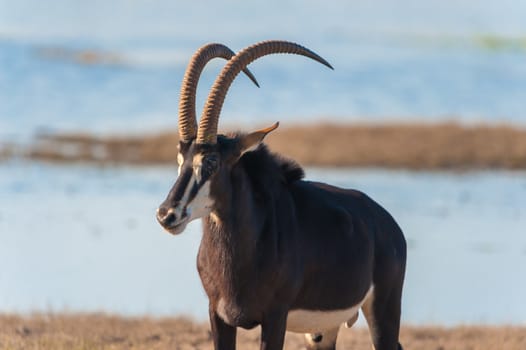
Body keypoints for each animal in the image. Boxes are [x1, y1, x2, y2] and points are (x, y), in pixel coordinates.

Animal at [157, 39, 408, 348]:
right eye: (180, 160)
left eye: (212, 161)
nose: (167, 214)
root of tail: (388, 224)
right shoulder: (217, 314)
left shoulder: (275, 316)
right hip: (322, 332)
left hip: (384, 310)